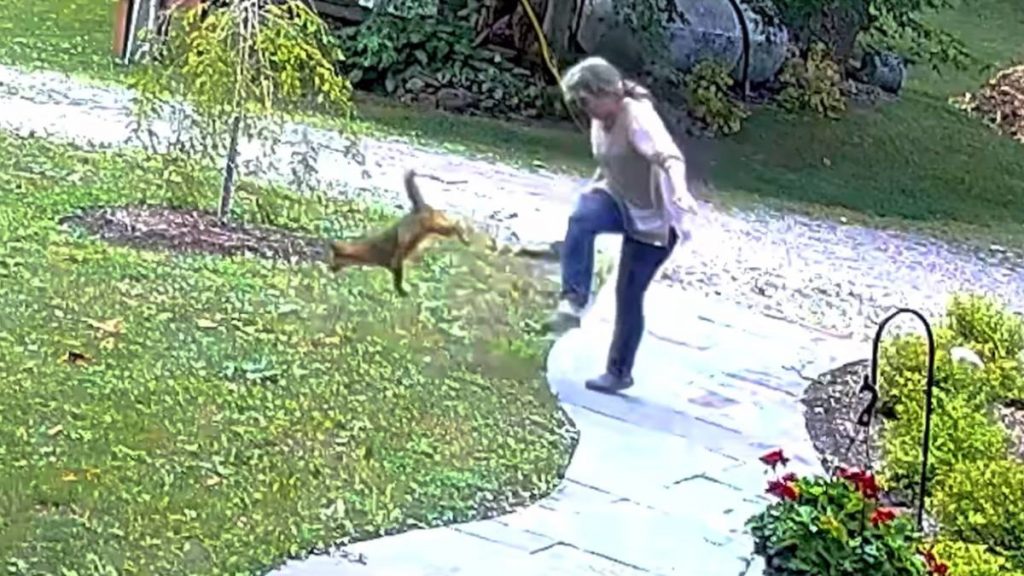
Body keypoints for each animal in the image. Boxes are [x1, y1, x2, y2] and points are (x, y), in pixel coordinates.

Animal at [328, 169, 470, 296]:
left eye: (331, 261)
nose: (329, 269)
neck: (367, 254)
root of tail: (418, 207)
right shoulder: (390, 264)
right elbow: (396, 276)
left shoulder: (393, 260)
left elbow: (398, 275)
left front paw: (402, 291)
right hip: (436, 223)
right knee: (451, 224)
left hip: (425, 226)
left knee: (453, 225)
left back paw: (464, 235)